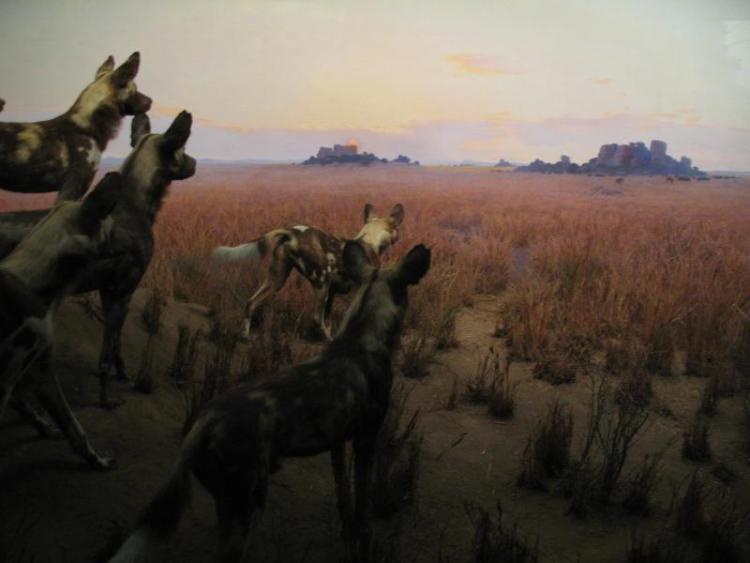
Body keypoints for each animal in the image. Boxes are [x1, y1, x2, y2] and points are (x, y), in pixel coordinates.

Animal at [0, 111, 196, 408]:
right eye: (182, 151)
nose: (195, 163)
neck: (134, 206)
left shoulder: (109, 292)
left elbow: (115, 346)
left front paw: (122, 373)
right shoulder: (122, 294)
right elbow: (106, 353)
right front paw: (106, 397)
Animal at [1, 172, 122, 470]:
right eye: (113, 230)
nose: (133, 249)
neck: (32, 282)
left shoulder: (41, 375)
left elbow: (73, 428)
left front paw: (94, 459)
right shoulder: (9, 380)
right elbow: (73, 423)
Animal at [109, 241, 431, 563]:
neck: (360, 339)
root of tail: (205, 422)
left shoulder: (338, 443)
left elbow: (344, 496)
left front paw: (347, 534)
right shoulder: (366, 440)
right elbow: (363, 503)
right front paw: (363, 542)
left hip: (231, 504)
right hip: (248, 506)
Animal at [213, 203, 405, 341]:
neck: (369, 241)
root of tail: (292, 231)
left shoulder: (333, 291)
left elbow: (329, 319)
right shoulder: (355, 289)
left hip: (277, 279)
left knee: (251, 303)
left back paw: (245, 336)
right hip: (321, 283)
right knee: (316, 318)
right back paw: (328, 341)